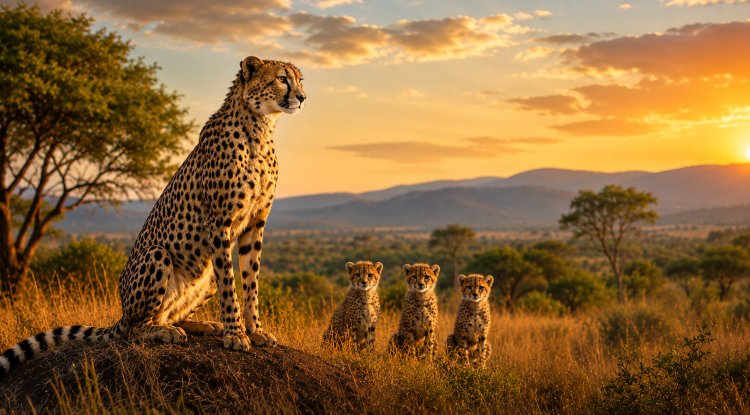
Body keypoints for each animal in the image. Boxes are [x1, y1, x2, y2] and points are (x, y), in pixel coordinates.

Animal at [0, 56, 306, 380]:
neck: (260, 126)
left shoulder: (255, 223)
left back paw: (199, 324)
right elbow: (230, 285)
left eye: (300, 80)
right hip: (157, 256)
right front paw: (235, 334)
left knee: (172, 314)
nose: (302, 97)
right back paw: (162, 331)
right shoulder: (219, 223)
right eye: (282, 79)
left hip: (204, 273)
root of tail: (122, 313)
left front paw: (255, 329)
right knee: (137, 328)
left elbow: (250, 280)